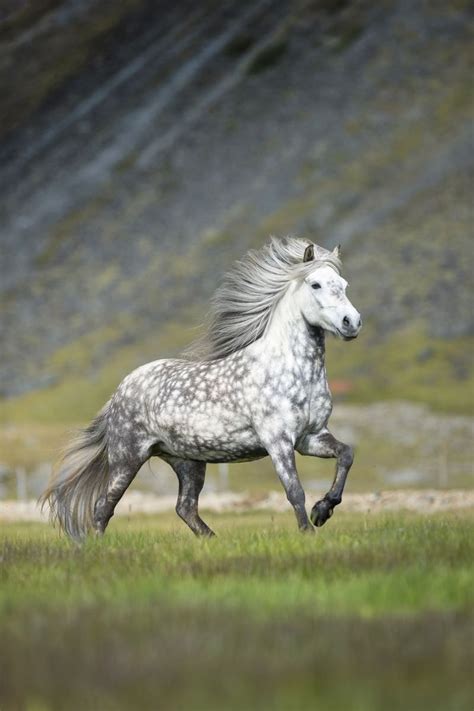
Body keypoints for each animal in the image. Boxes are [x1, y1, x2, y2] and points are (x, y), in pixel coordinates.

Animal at [40, 236, 362, 536]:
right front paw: (309, 530)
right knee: (103, 507)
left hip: (187, 461)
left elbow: (346, 454)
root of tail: (120, 390)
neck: (291, 369)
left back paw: (214, 540)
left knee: (185, 507)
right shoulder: (278, 440)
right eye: (315, 284)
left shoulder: (310, 437)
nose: (352, 322)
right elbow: (294, 491)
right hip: (128, 459)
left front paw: (324, 509)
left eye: (344, 284)